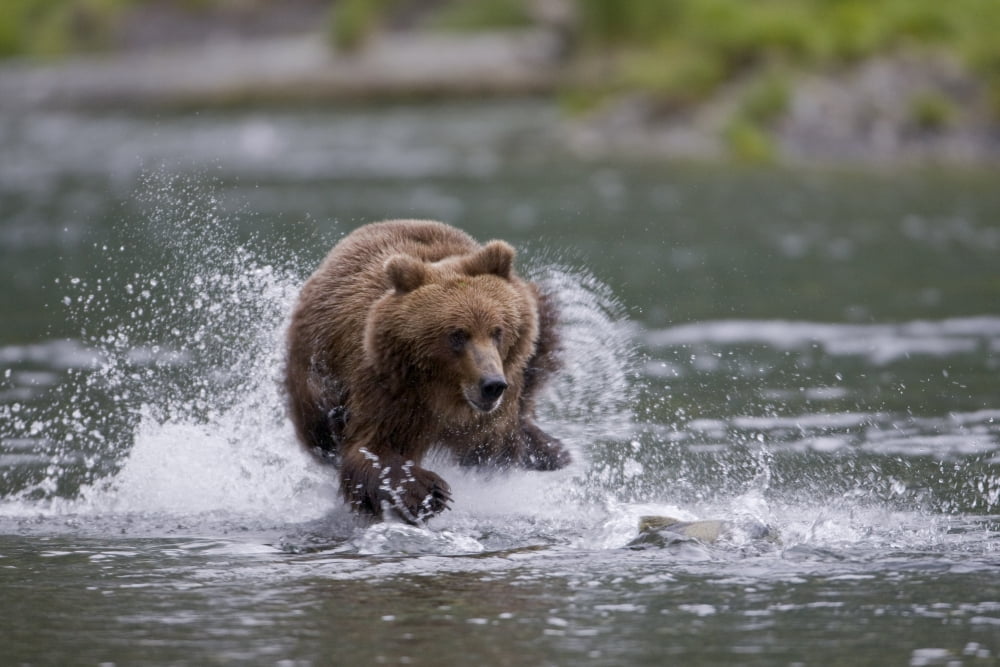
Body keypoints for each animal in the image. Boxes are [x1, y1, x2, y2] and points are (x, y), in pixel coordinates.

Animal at [284, 220, 570, 523]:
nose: (491, 384)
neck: (446, 393)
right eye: (457, 335)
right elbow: (371, 448)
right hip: (315, 373)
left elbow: (496, 443)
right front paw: (428, 492)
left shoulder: (500, 400)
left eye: (497, 331)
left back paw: (550, 448)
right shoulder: (388, 388)